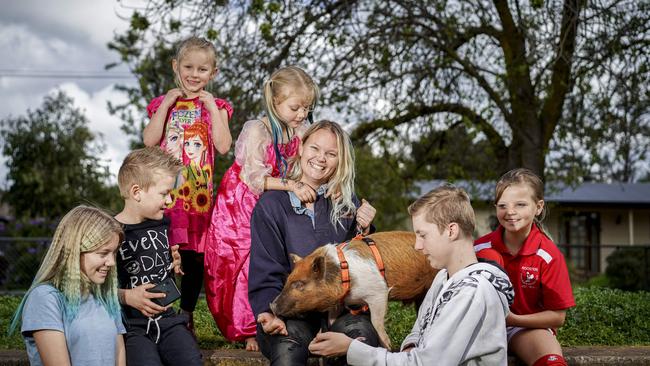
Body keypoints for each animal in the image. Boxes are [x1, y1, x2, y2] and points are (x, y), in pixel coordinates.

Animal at [268, 232, 436, 348]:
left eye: (299, 284)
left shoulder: (379, 292)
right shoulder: (338, 303)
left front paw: (387, 346)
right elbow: (331, 319)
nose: (272, 305)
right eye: (287, 280)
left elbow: (376, 322)